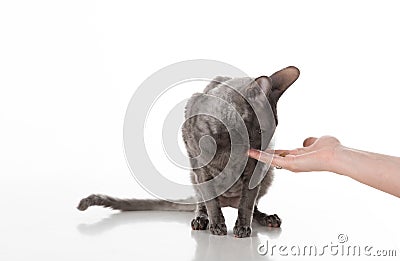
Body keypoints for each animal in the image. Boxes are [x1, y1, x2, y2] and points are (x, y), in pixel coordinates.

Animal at [76, 65, 298, 238]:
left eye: (273, 132)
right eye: (263, 130)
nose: (266, 149)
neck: (228, 143)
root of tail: (228, 200)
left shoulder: (254, 171)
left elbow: (247, 203)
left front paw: (242, 228)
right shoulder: (200, 166)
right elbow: (211, 201)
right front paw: (217, 225)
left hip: (266, 174)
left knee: (251, 205)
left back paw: (267, 218)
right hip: (194, 175)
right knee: (202, 201)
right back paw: (201, 220)